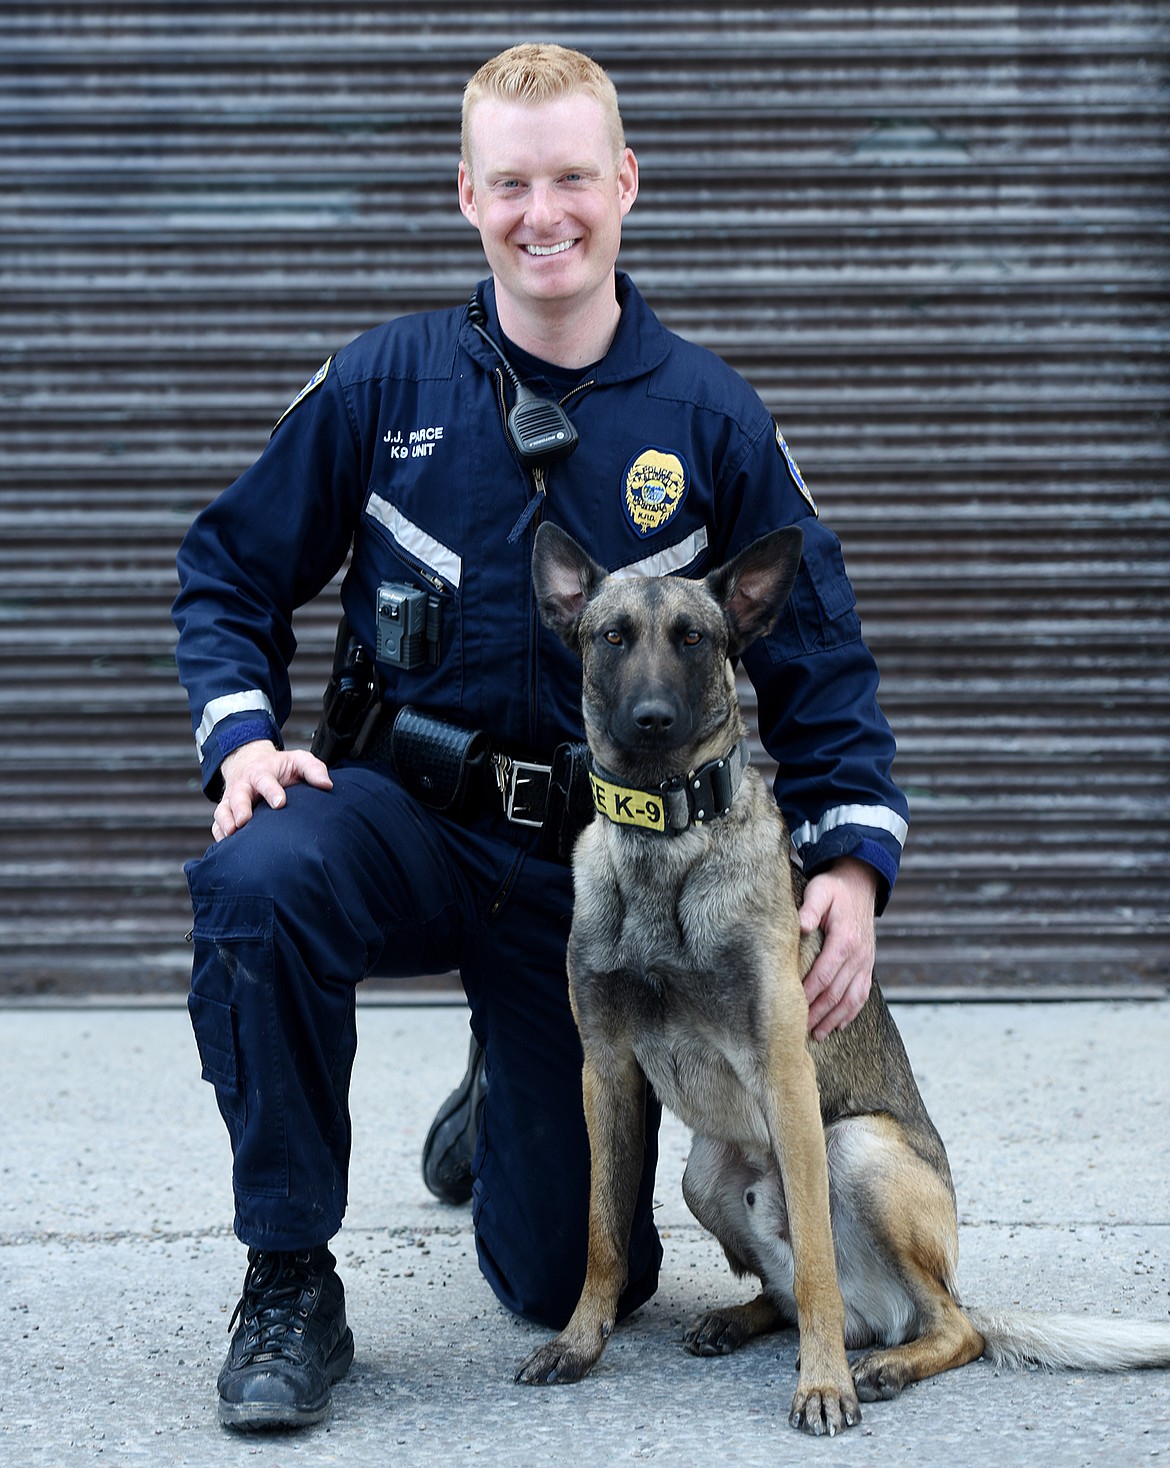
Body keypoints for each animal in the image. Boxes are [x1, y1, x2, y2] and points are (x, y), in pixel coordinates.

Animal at [516, 525, 1168, 1432]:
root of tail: (883, 1311)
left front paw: (822, 1386)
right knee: (796, 1294)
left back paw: (881, 1364)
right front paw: (580, 1344)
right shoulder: (606, 1074)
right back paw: (743, 1319)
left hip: (854, 1149)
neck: (667, 844)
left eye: (694, 639)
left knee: (945, 1324)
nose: (652, 720)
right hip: (701, 1175)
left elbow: (818, 1263)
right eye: (613, 638)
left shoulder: (785, 1074)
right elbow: (602, 1236)